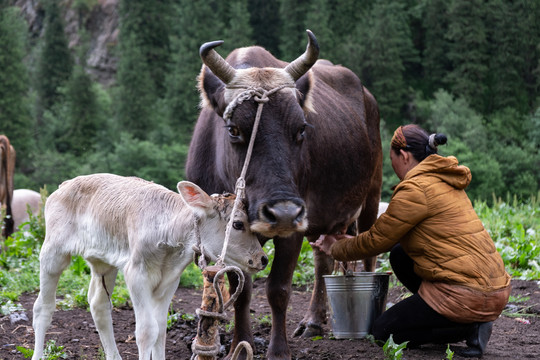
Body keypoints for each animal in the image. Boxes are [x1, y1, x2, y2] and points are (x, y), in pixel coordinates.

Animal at [31, 173, 268, 358]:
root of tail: (66, 184)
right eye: (237, 224)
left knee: (99, 305)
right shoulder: (137, 274)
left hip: (103, 261)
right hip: (53, 251)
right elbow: (146, 331)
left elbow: (161, 329)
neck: (169, 236)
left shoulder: (170, 280)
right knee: (43, 307)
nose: (263, 259)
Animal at [188, 29, 382, 358]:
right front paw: (240, 344)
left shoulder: (294, 228)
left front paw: (278, 351)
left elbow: (277, 289)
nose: (282, 213)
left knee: (367, 256)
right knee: (323, 260)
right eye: (233, 129)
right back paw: (314, 321)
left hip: (370, 196)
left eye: (301, 129)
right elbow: (240, 290)